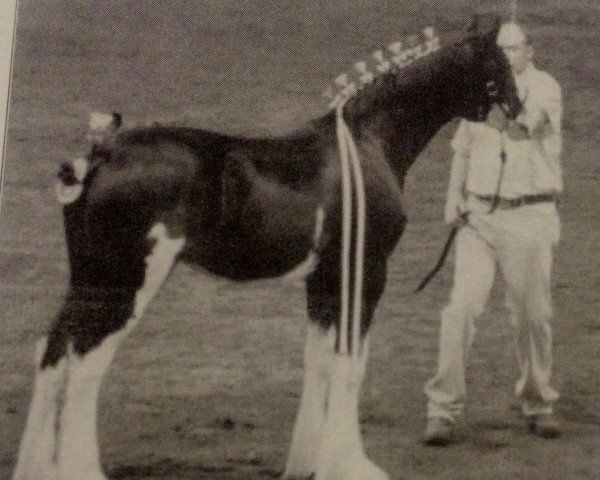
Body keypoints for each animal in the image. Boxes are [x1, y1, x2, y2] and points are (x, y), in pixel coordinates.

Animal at [11, 15, 524, 480]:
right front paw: (351, 464)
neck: (371, 141)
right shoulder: (366, 272)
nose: (519, 111)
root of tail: (100, 155)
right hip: (126, 283)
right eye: (499, 64)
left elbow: (320, 363)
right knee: (86, 364)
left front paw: (309, 464)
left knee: (52, 352)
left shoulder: (324, 280)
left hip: (89, 279)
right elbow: (350, 365)